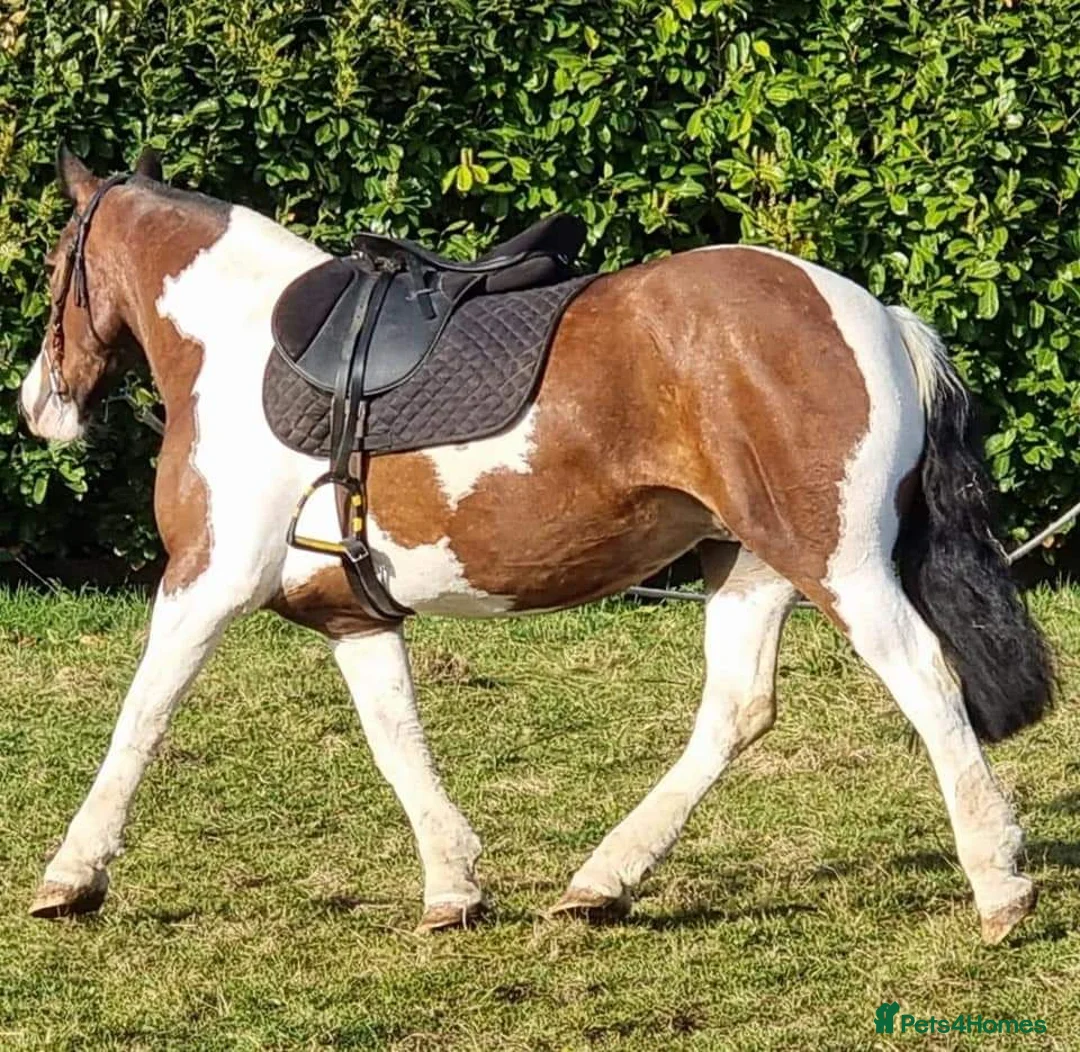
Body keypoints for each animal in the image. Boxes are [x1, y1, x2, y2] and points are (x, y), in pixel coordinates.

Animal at [18, 146, 1053, 943]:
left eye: (54, 265)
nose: (38, 406)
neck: (238, 346)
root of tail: (877, 315)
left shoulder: (207, 581)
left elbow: (142, 716)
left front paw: (72, 876)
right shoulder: (352, 613)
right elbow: (396, 739)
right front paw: (453, 888)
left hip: (837, 562)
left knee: (924, 677)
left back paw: (999, 884)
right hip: (752, 563)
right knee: (736, 709)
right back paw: (602, 883)